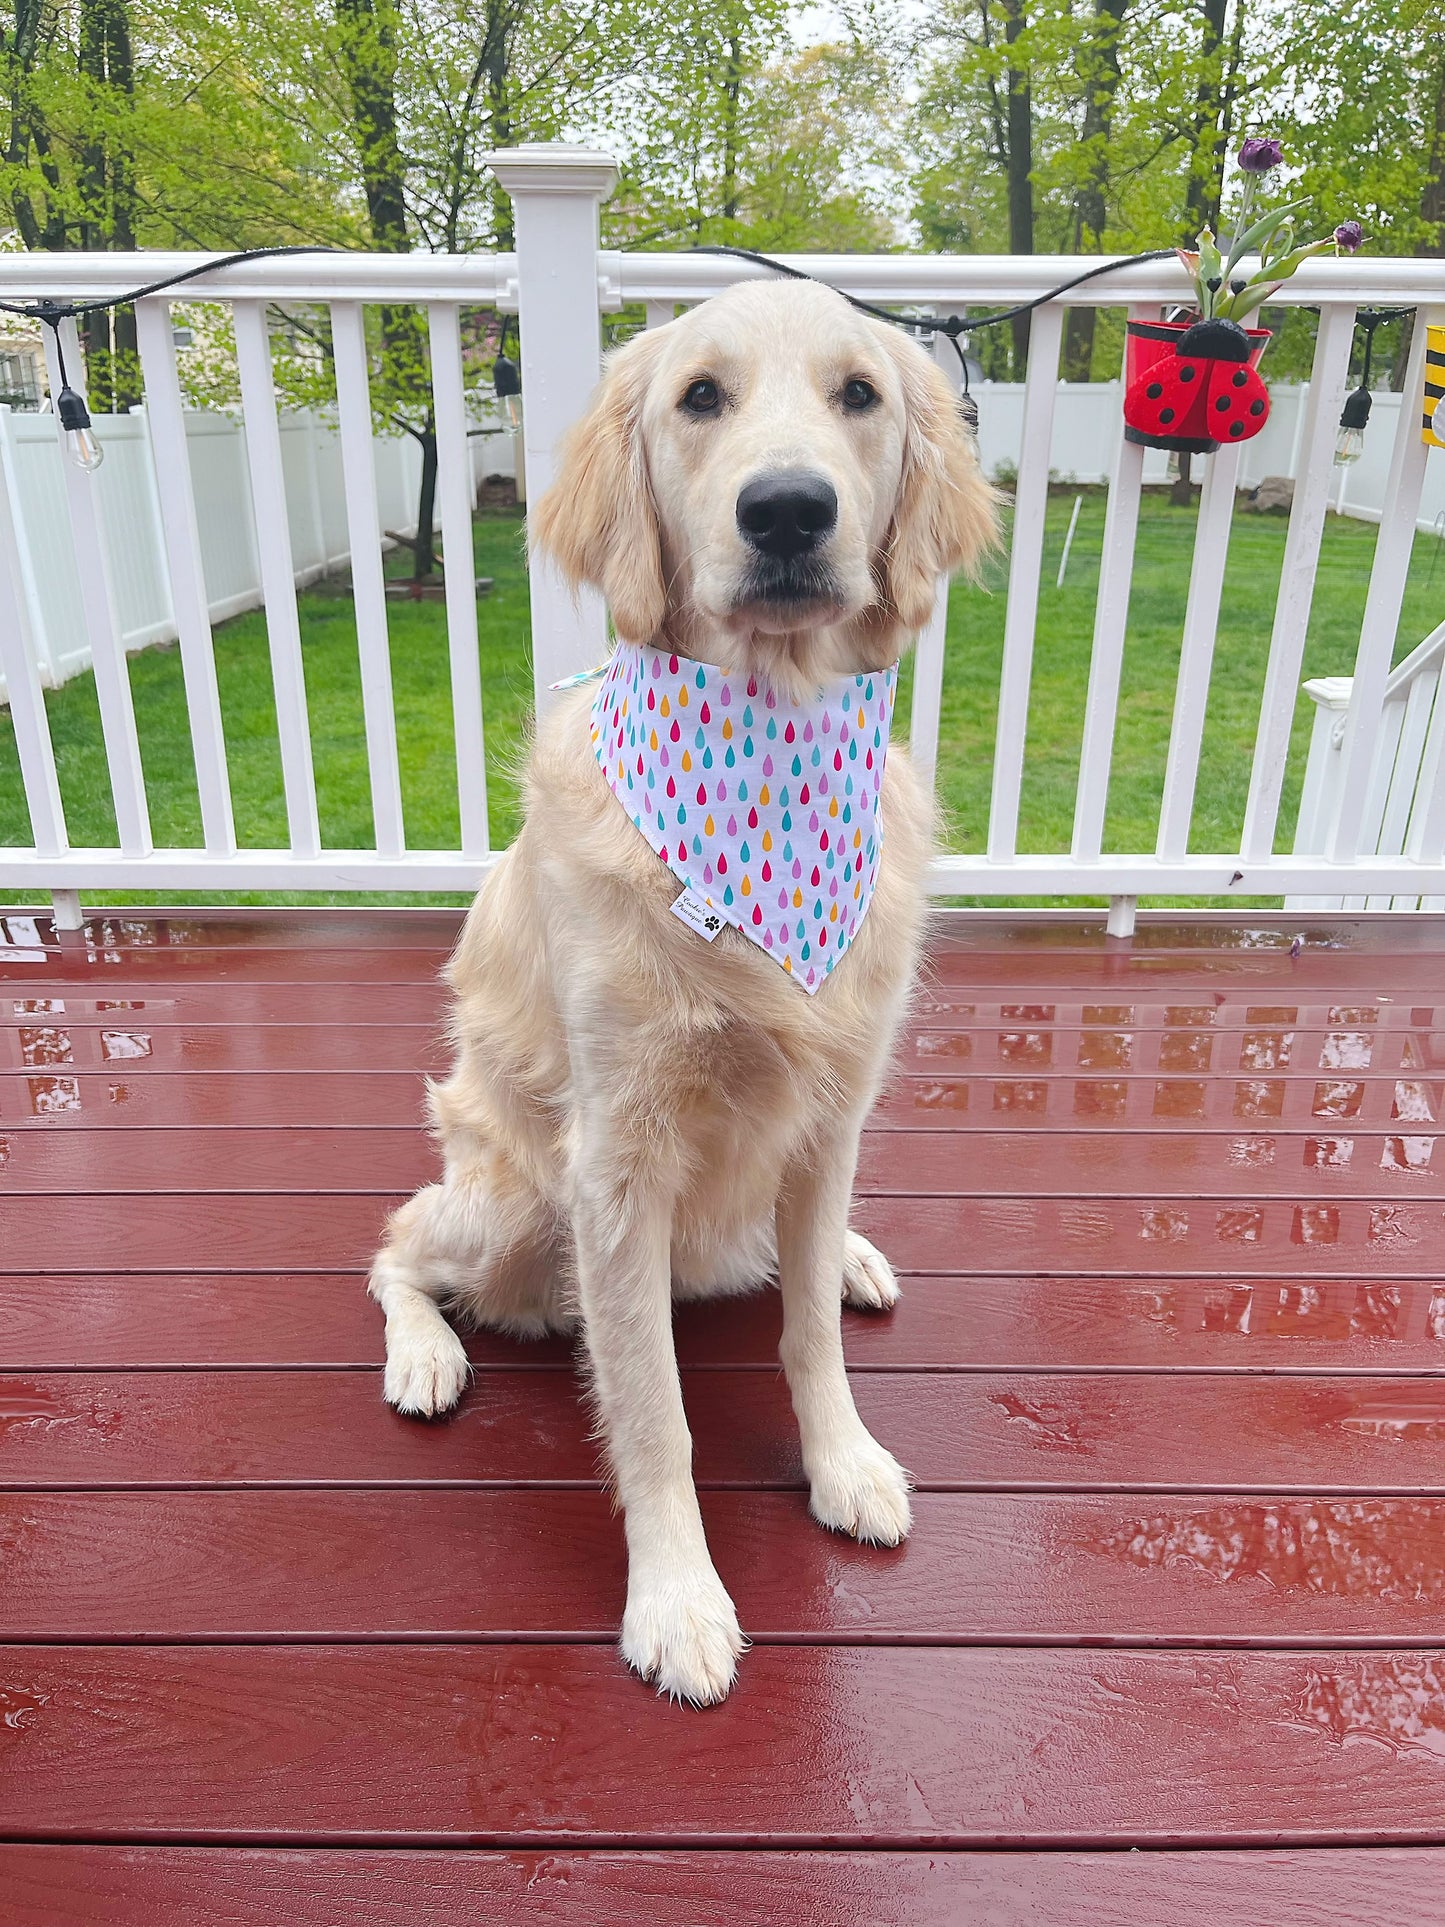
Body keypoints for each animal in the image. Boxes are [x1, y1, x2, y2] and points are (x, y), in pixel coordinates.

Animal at [367, 281, 1001, 1703]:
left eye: (857, 394)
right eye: (699, 397)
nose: (787, 511)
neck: (769, 745)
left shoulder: (830, 1117)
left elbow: (808, 1331)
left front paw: (842, 1460)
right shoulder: (616, 1163)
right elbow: (653, 1416)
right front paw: (678, 1599)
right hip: (509, 1207)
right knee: (391, 1247)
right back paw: (426, 1353)